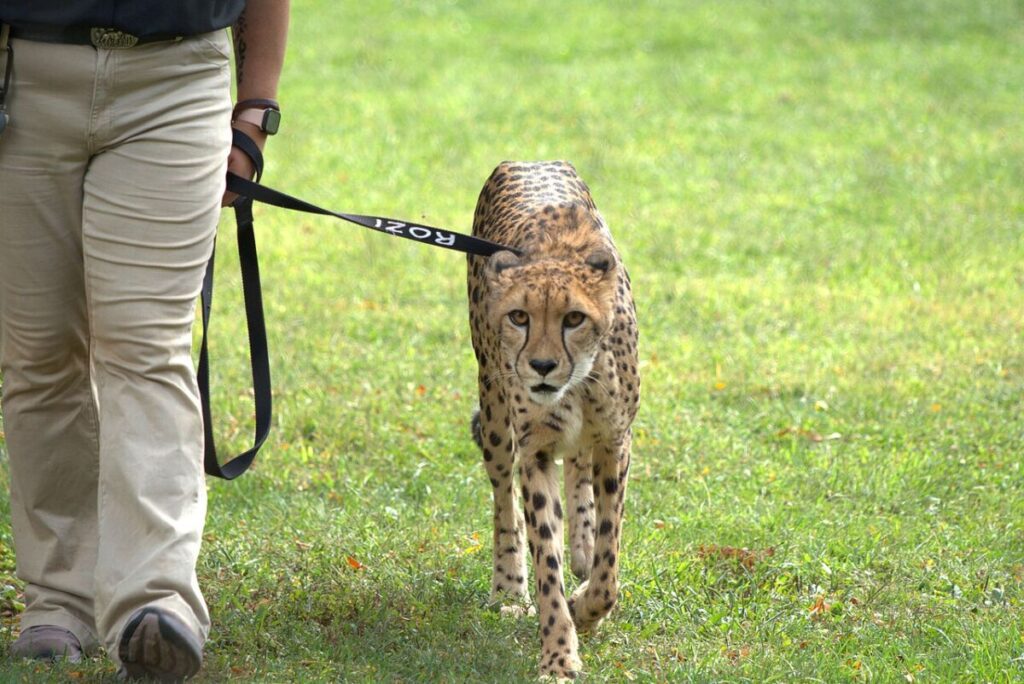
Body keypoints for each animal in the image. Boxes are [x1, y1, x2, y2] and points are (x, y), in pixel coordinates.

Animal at [466, 161, 640, 679]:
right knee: (504, 501)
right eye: (519, 316)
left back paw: (580, 546)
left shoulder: (615, 442)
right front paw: (559, 655)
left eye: (574, 318)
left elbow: (608, 562)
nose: (541, 367)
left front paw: (587, 606)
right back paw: (508, 586)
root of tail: (525, 160)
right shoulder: (535, 452)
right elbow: (546, 557)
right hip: (495, 416)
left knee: (580, 471)